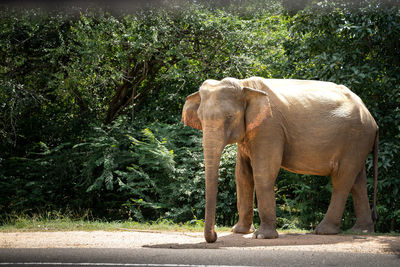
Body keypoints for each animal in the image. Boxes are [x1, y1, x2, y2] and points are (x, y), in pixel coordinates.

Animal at [181, 76, 378, 244]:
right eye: (200, 118)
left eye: (229, 117)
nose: (214, 236)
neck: (245, 85)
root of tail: (373, 120)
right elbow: (242, 175)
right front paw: (238, 232)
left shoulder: (270, 127)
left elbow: (263, 172)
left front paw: (261, 236)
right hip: (359, 142)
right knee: (357, 182)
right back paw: (360, 231)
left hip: (356, 138)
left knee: (342, 180)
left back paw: (324, 231)